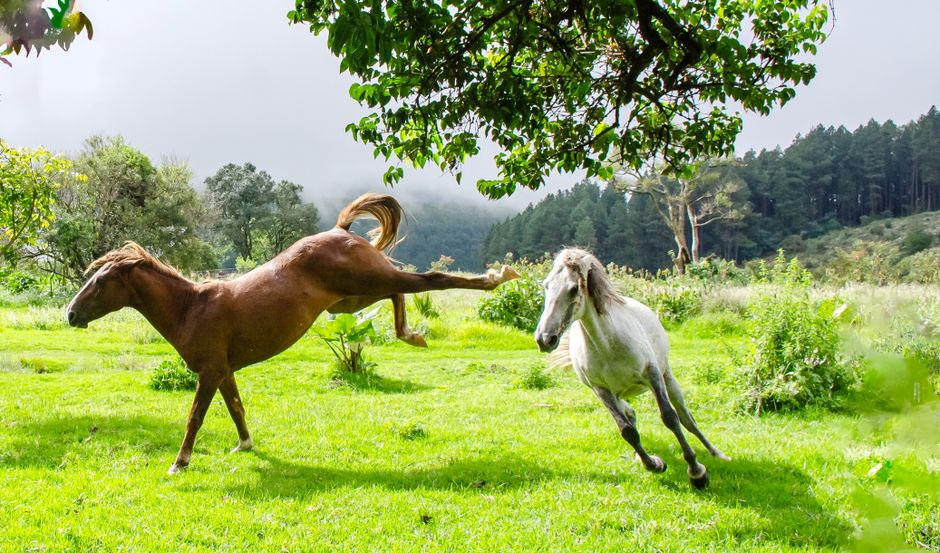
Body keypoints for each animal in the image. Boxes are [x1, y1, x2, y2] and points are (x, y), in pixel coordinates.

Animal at [66, 193, 520, 474]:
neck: (190, 308)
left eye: (101, 282)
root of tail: (341, 230)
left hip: (365, 282)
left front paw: (179, 463)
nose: (71, 314)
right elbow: (236, 408)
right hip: (350, 298)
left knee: (430, 280)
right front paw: (244, 445)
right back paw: (413, 334)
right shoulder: (224, 370)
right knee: (401, 291)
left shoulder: (209, 372)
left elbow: (196, 417)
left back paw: (497, 278)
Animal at [533, 248, 729, 489]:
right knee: (631, 415)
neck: (607, 346)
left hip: (668, 377)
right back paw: (641, 457)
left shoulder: (653, 374)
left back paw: (717, 453)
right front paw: (654, 464)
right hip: (619, 395)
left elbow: (670, 418)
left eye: (573, 289)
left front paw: (697, 473)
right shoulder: (602, 390)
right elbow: (627, 431)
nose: (544, 339)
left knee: (686, 418)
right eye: (546, 285)